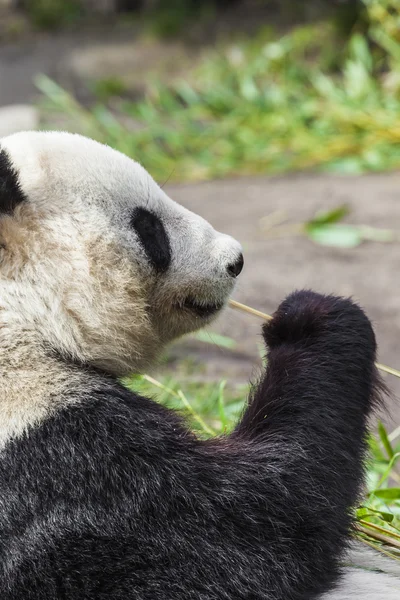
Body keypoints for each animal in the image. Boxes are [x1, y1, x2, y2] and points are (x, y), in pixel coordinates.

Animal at [0, 131, 398, 600]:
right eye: (149, 228)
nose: (235, 260)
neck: (19, 309)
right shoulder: (54, 466)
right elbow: (253, 530)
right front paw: (310, 318)